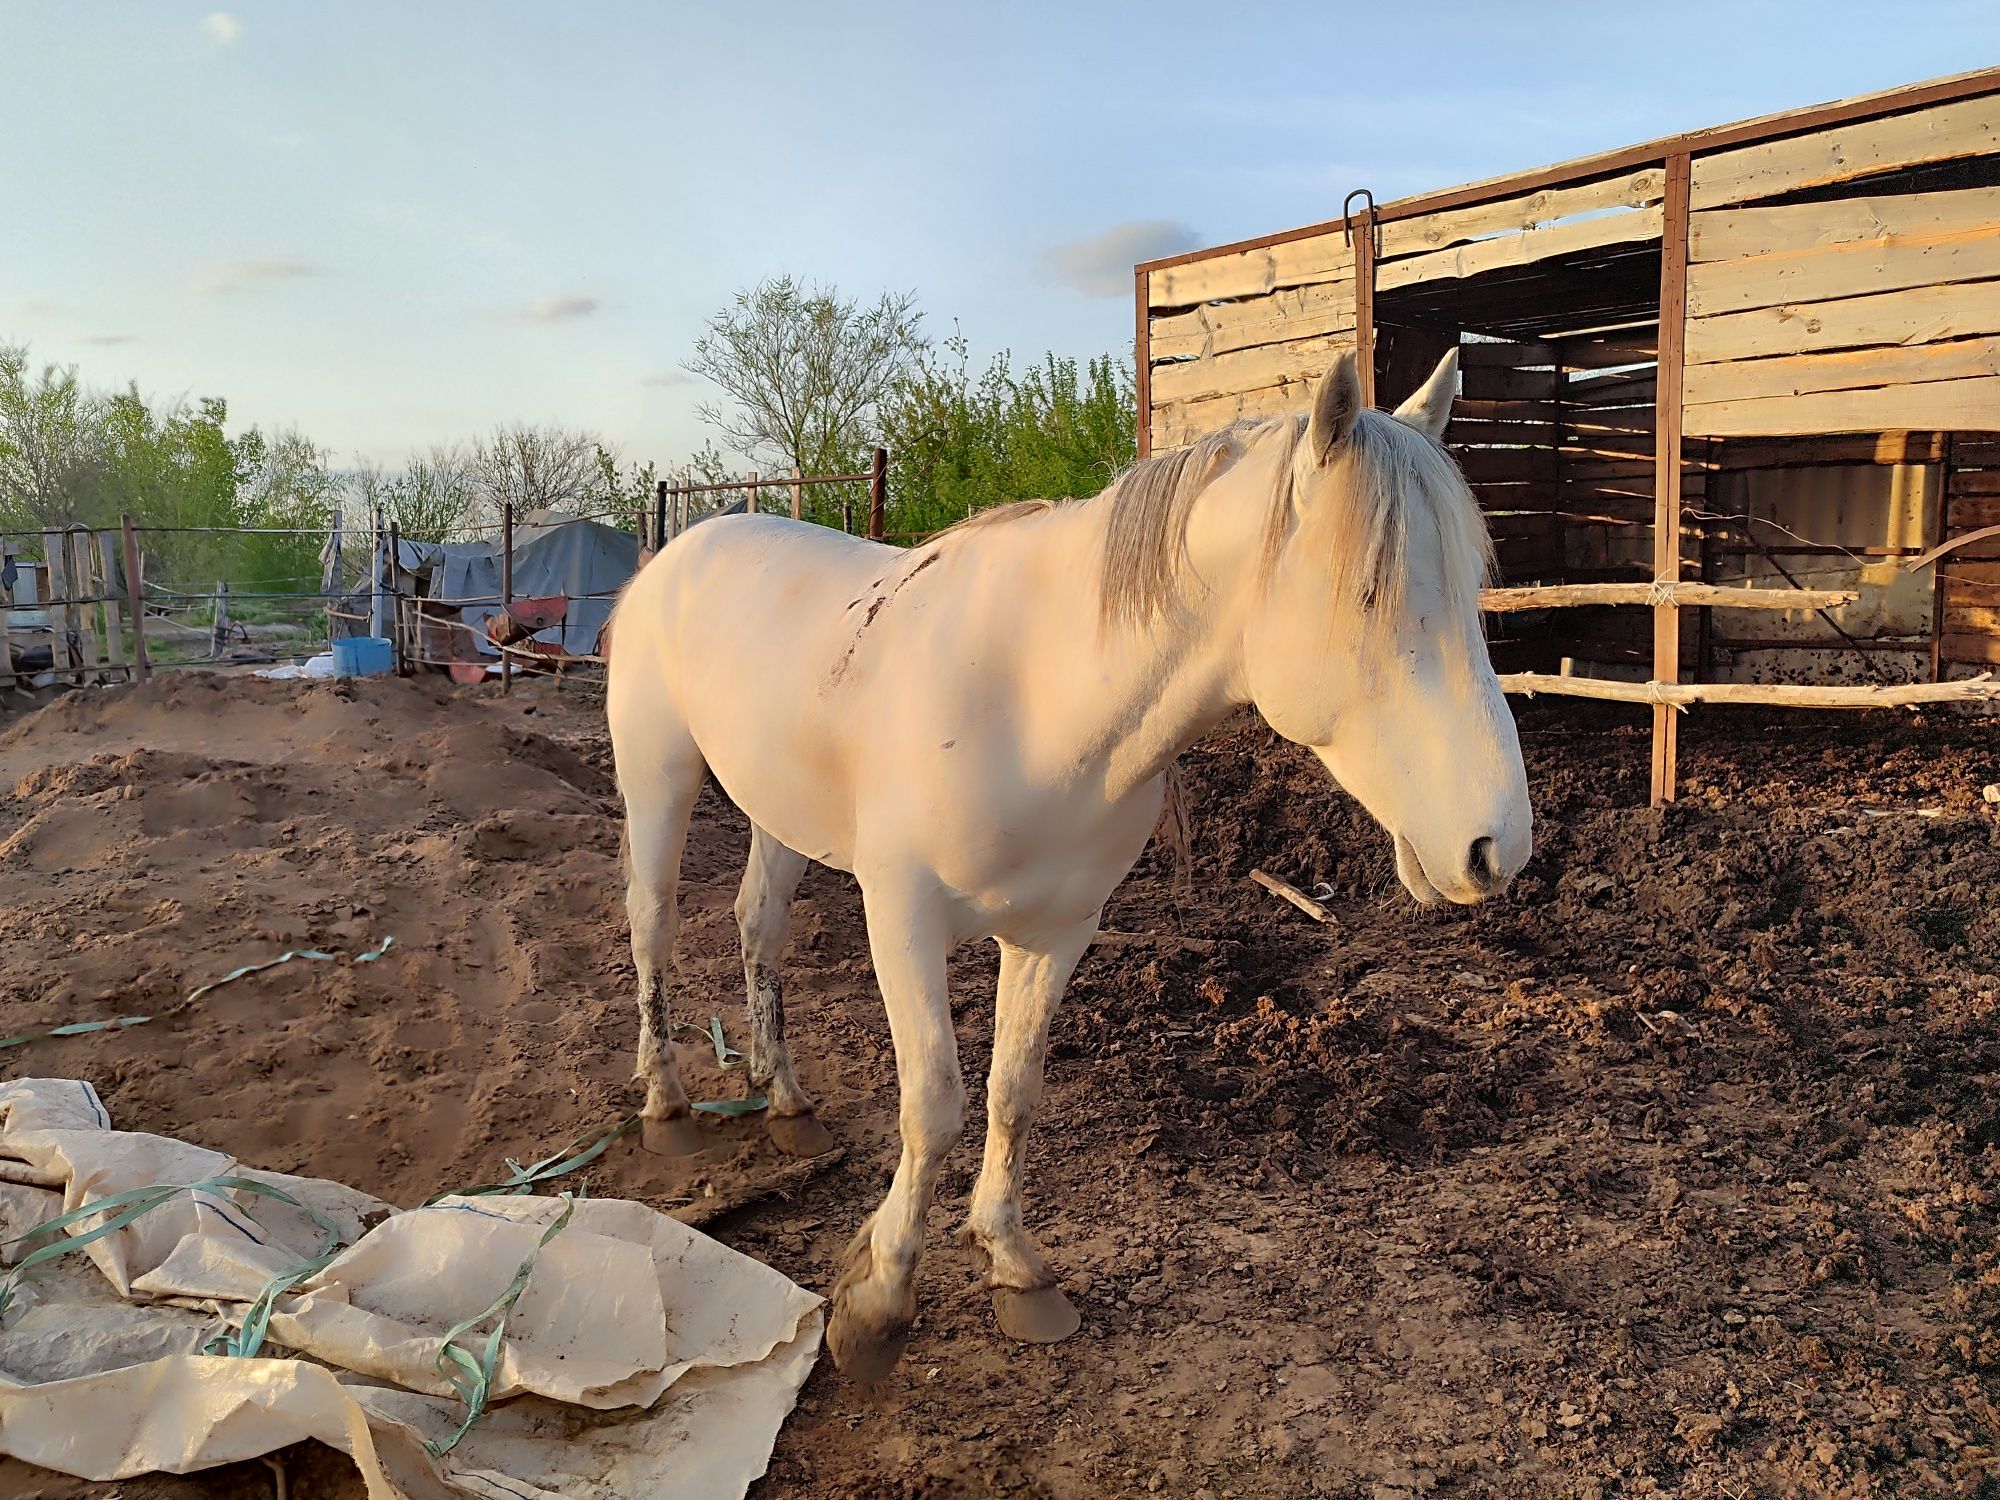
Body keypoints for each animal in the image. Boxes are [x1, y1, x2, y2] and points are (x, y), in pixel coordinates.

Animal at [600, 346, 1520, 1384]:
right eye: (1371, 597)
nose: (1498, 846)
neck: (1036, 699)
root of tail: (677, 552)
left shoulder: (1057, 931)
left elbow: (1014, 1093)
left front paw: (1013, 1265)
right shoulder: (901, 919)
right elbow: (935, 1102)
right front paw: (879, 1300)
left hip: (779, 814)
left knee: (758, 923)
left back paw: (786, 1100)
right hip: (659, 779)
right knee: (653, 925)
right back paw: (668, 1106)